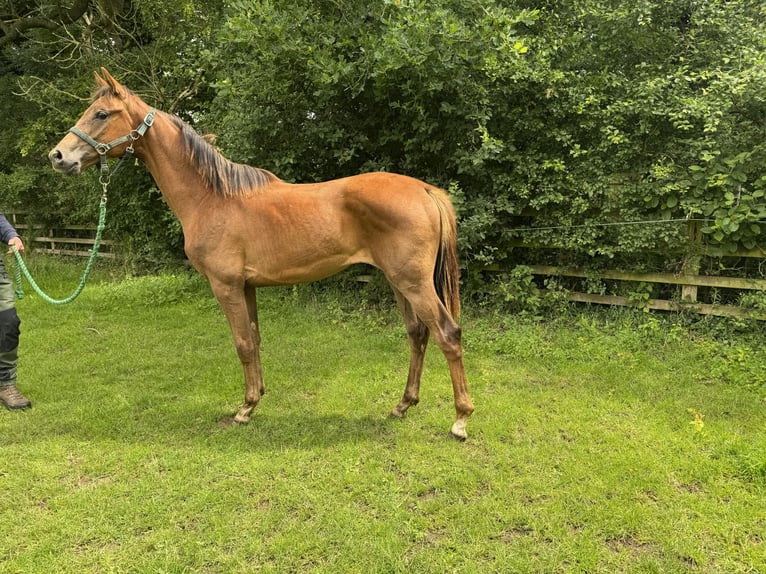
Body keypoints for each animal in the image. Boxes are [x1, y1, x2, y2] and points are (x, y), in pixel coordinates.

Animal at [48, 68, 474, 440]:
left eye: (101, 113)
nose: (57, 156)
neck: (212, 198)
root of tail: (425, 190)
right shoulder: (248, 286)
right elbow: (254, 340)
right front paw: (256, 400)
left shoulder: (226, 286)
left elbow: (241, 343)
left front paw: (245, 409)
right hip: (400, 282)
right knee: (418, 334)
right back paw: (403, 405)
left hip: (413, 282)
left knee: (447, 334)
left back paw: (460, 420)